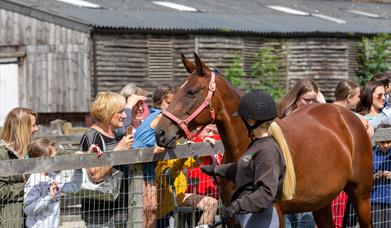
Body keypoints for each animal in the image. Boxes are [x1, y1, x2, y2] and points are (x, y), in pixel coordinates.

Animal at [155, 52, 374, 227]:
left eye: (191, 92)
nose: (160, 133)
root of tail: (349, 116)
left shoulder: (274, 213)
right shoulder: (232, 219)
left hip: (361, 197)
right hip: (322, 203)